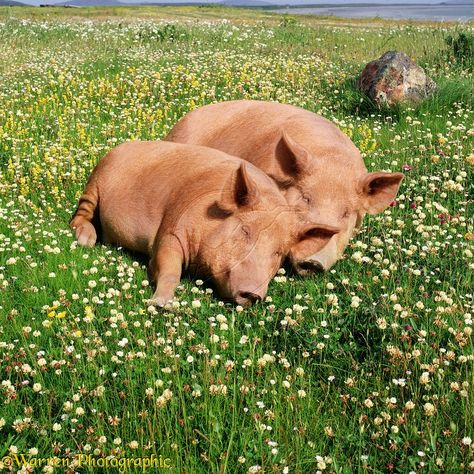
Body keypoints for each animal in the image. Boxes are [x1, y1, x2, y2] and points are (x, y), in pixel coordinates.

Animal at [70, 140, 314, 308]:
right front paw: (161, 305)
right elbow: (168, 266)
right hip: (95, 183)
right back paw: (86, 240)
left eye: (279, 253)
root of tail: (120, 146)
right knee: (80, 215)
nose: (253, 294)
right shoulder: (170, 230)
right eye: (245, 231)